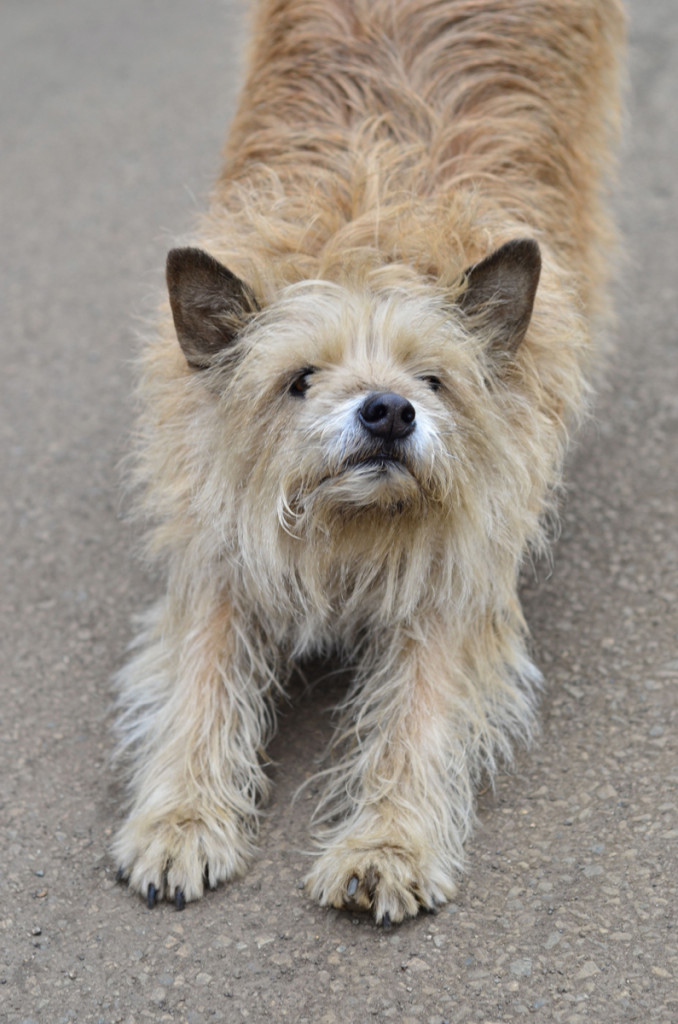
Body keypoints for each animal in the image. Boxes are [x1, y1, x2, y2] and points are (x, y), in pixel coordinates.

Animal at [112, 0, 626, 929]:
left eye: (434, 380)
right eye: (299, 379)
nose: (388, 410)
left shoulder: (454, 581)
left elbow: (416, 716)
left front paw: (387, 845)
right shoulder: (219, 552)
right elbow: (200, 685)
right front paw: (181, 819)